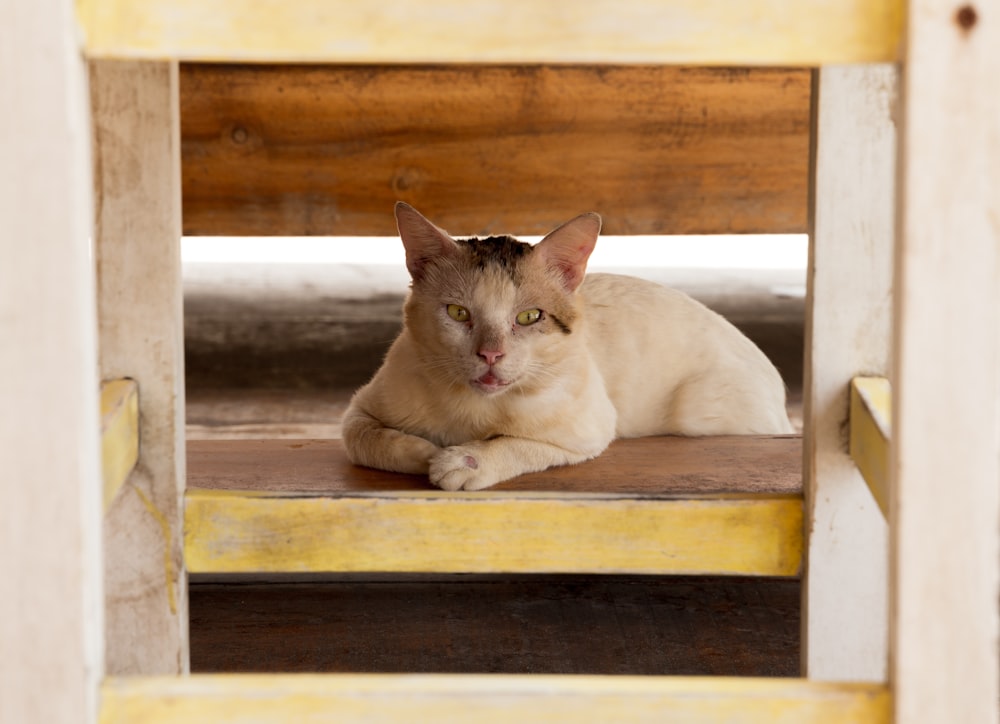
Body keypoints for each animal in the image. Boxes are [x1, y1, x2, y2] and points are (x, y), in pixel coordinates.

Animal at [340, 202, 792, 492]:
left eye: (528, 317)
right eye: (457, 312)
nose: (490, 354)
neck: (474, 411)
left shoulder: (589, 430)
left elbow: (521, 445)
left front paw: (468, 460)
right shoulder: (358, 410)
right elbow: (368, 440)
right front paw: (423, 452)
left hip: (700, 413)